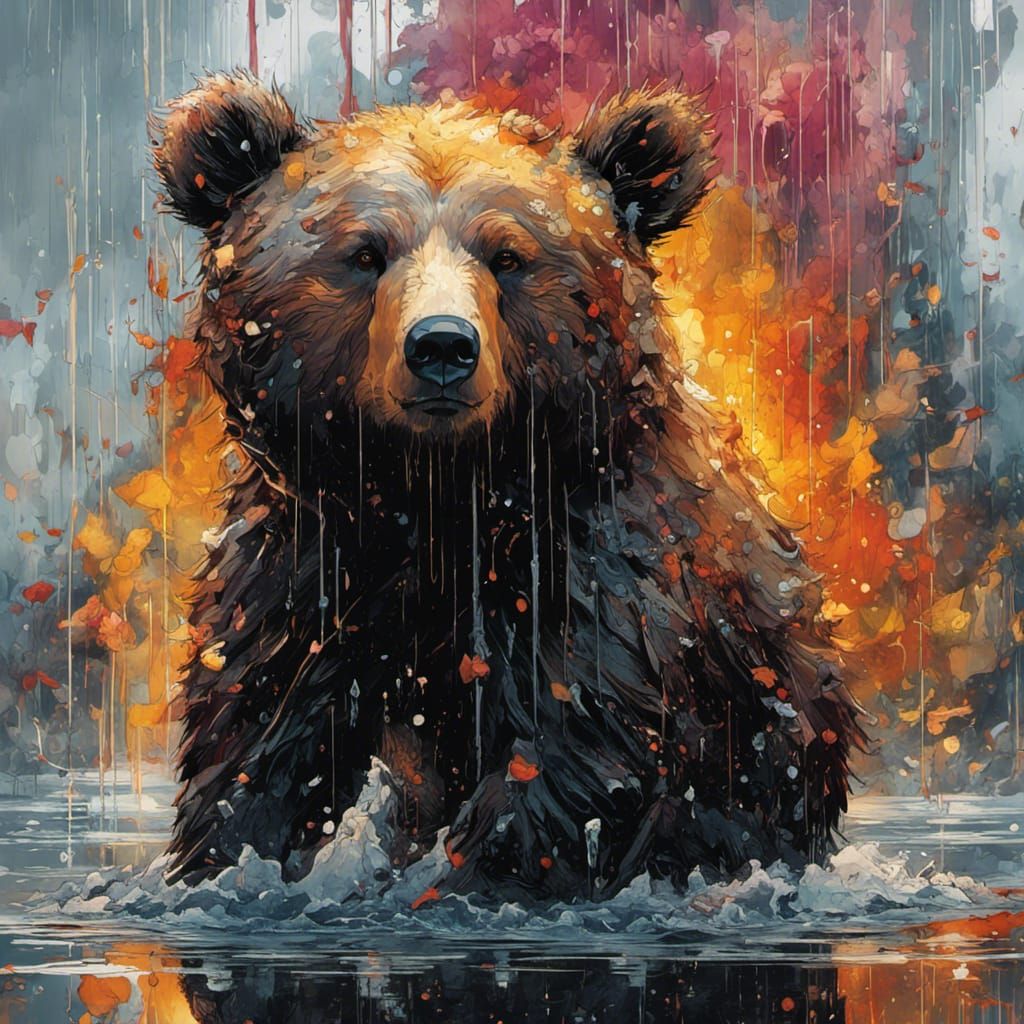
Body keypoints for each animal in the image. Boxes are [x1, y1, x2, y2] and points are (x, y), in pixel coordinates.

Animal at [151, 70, 865, 900]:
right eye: (364, 253)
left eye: (508, 256)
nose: (441, 346)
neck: (437, 496)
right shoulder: (304, 573)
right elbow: (257, 741)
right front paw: (226, 861)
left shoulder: (600, 580)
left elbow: (567, 748)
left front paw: (466, 879)